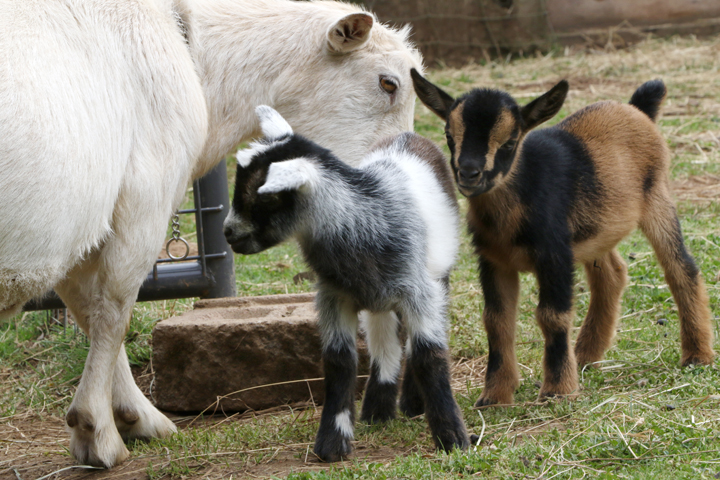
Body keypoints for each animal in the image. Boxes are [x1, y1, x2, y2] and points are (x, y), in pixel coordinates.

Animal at [0, 0, 422, 466]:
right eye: (388, 83)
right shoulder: (144, 199)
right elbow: (114, 310)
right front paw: (98, 432)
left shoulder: (80, 232)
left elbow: (89, 313)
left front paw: (135, 417)